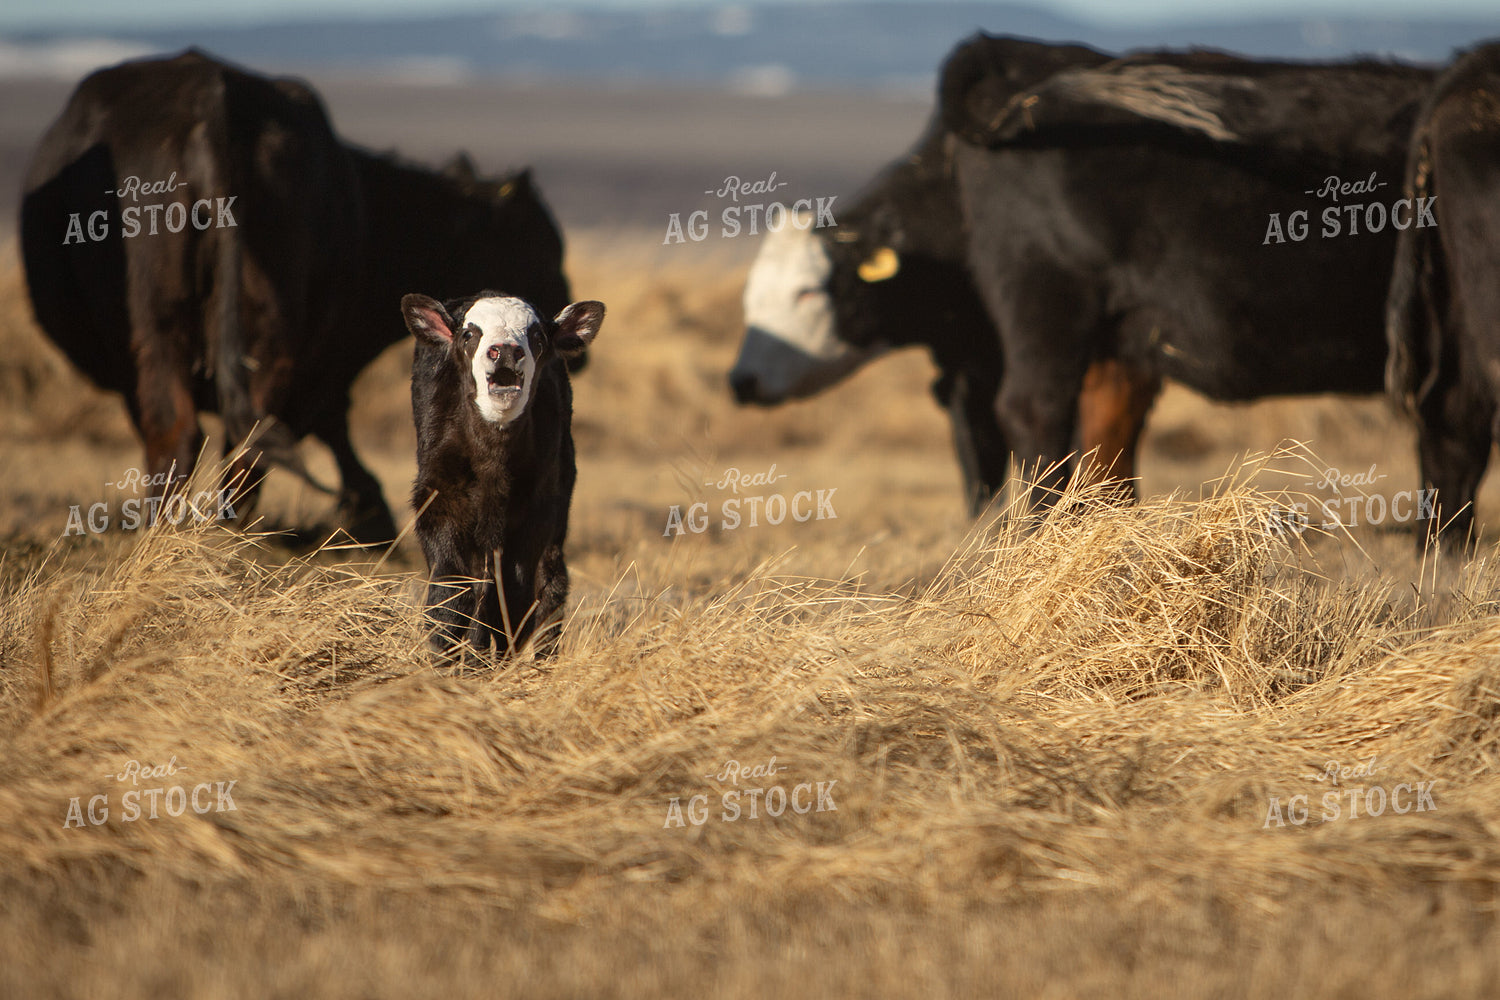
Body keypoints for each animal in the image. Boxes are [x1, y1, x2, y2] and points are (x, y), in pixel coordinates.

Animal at [402, 290, 604, 661]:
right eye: (469, 334)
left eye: (537, 337)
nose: (506, 350)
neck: (493, 460)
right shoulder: (440, 499)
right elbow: (453, 586)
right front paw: (446, 653)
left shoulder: (536, 512)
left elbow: (512, 591)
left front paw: (491, 655)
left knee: (550, 585)